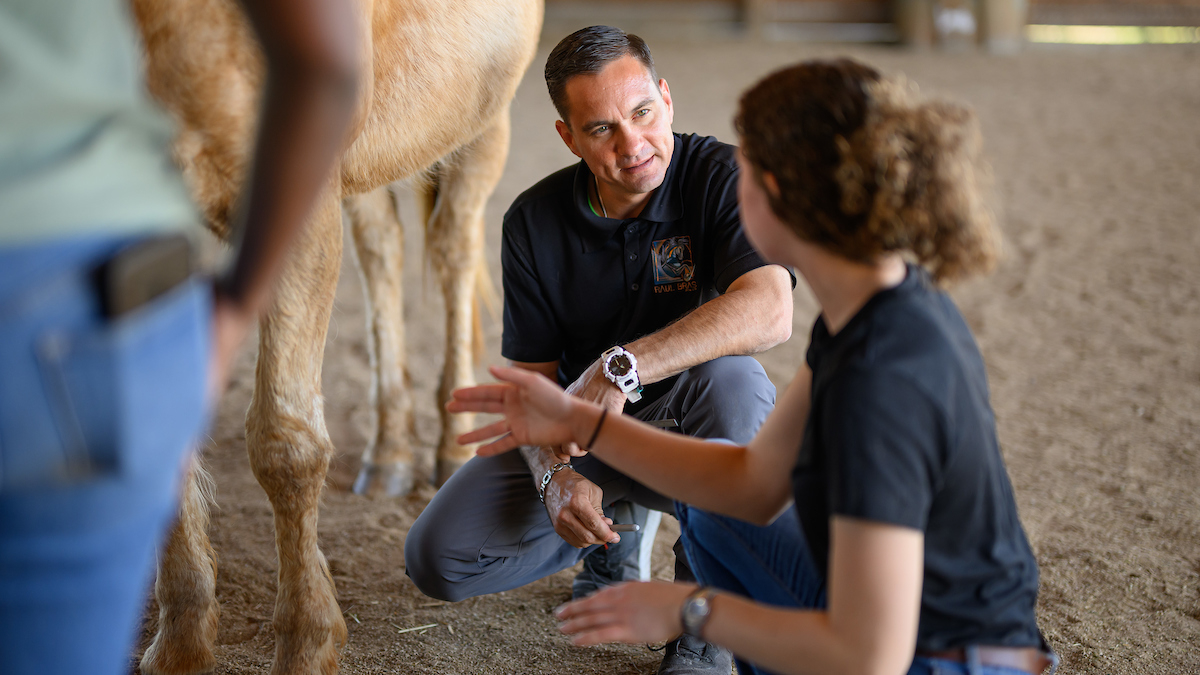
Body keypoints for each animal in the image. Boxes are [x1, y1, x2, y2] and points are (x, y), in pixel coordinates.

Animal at [132, 0, 544, 667]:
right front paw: (181, 648)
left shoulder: (301, 207)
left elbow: (287, 444)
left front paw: (307, 640)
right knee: (383, 248)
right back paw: (389, 453)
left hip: (482, 121)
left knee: (454, 247)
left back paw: (453, 445)